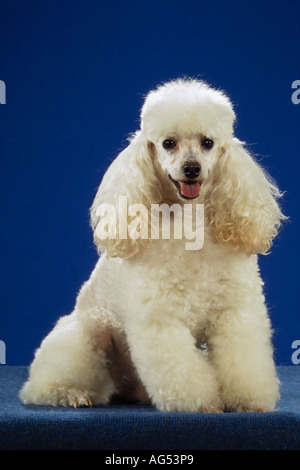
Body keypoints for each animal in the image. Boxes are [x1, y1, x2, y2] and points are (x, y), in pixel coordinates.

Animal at [19, 78, 284, 412]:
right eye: (168, 143)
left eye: (207, 143)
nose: (192, 168)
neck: (190, 227)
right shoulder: (160, 318)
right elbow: (180, 369)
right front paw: (202, 403)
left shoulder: (235, 311)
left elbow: (243, 360)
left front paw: (247, 401)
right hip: (84, 335)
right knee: (47, 381)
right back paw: (72, 393)